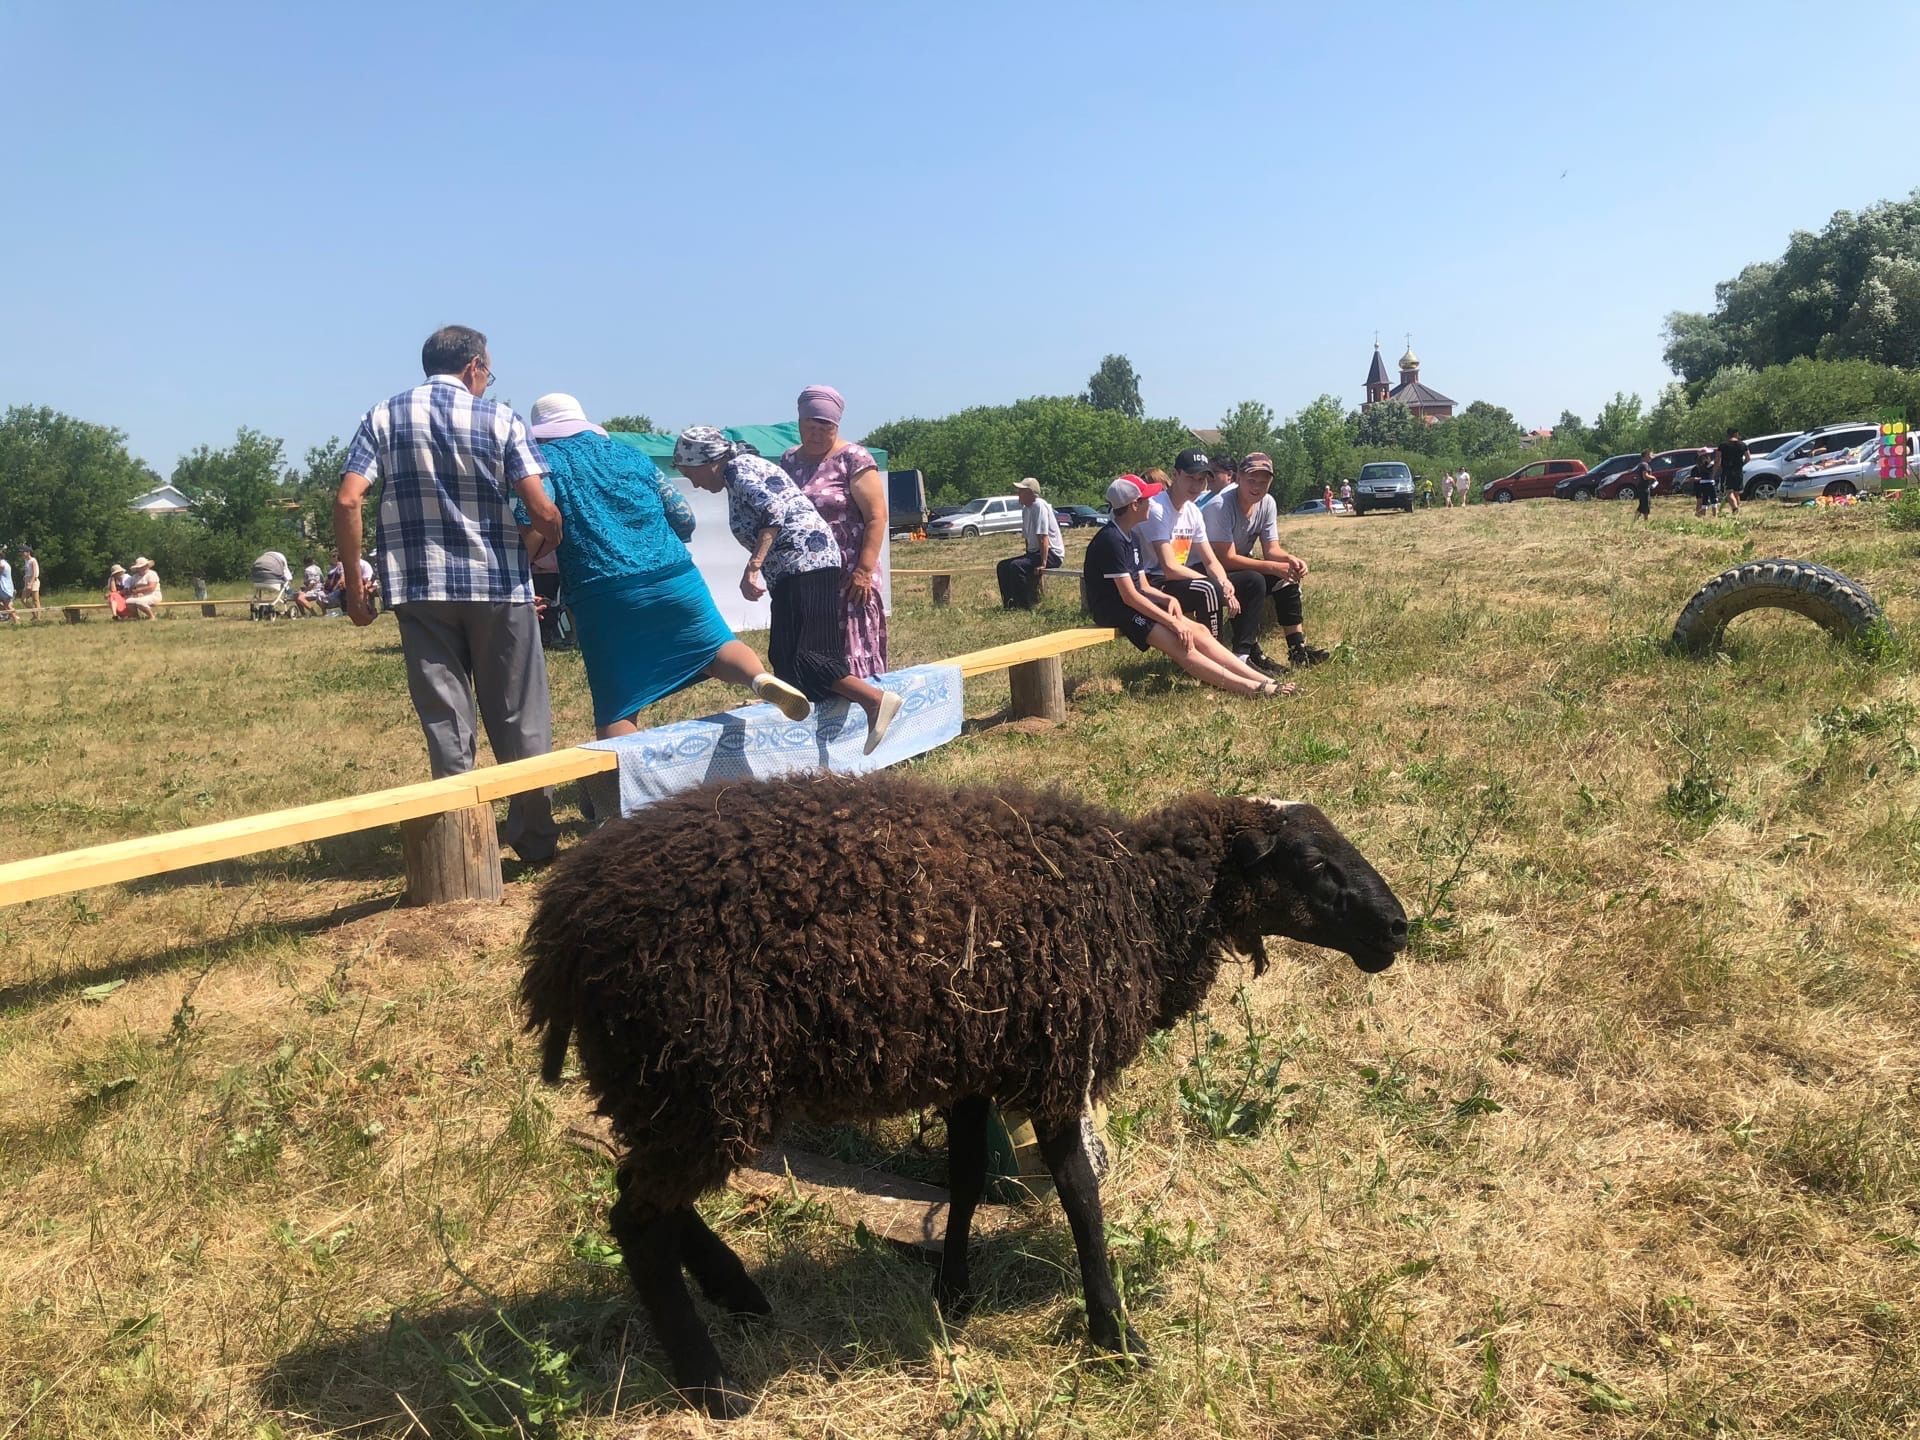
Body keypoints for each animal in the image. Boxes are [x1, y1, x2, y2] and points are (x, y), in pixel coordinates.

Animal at [526, 779, 1413, 1420]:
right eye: (1315, 866)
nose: (1400, 930)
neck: (1138, 897)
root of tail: (558, 927)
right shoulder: (1056, 1060)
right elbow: (1080, 1195)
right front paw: (1114, 1333)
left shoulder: (976, 1060)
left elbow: (963, 1178)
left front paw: (953, 1291)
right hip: (704, 1077)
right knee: (637, 1221)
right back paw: (713, 1385)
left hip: (669, 1087)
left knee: (647, 1197)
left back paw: (737, 1292)